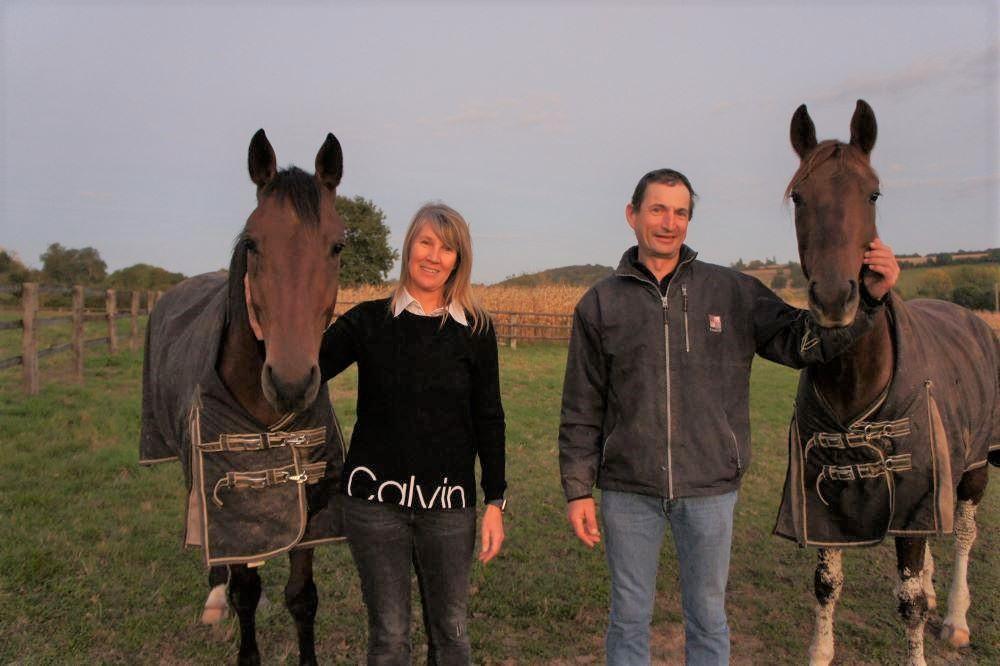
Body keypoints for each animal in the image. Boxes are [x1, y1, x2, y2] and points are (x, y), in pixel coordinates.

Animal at [139, 130, 346, 664]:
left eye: (337, 245)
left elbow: (303, 597)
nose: (291, 382)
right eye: (252, 243)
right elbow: (245, 592)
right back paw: (214, 595)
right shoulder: (228, 501)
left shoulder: (309, 510)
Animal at [776, 100, 1000, 664]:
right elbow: (826, 584)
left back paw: (956, 618)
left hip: (975, 468)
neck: (857, 376)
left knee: (964, 535)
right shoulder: (822, 497)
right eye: (800, 196)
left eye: (872, 193)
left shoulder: (922, 489)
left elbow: (909, 603)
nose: (835, 299)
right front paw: (820, 651)